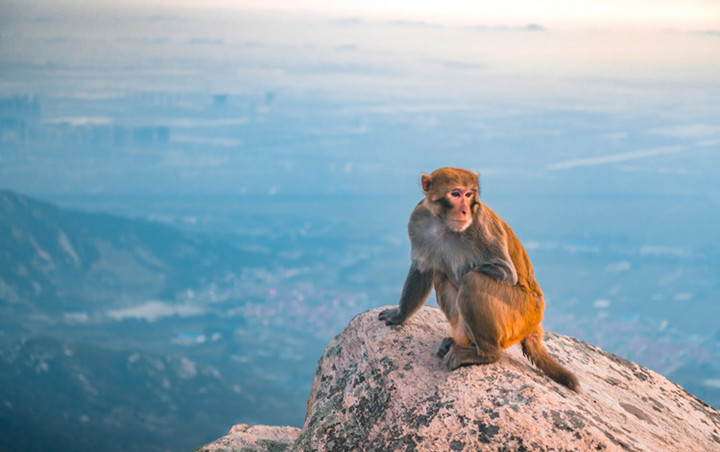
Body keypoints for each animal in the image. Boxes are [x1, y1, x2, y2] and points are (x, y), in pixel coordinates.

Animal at [380, 168, 576, 390]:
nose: (465, 210)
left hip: (521, 313)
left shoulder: (481, 224)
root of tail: (536, 319)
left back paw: (485, 354)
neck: (443, 223)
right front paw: (399, 315)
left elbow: (505, 271)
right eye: (455, 194)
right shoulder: (418, 220)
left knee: (472, 280)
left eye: (468, 194)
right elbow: (422, 270)